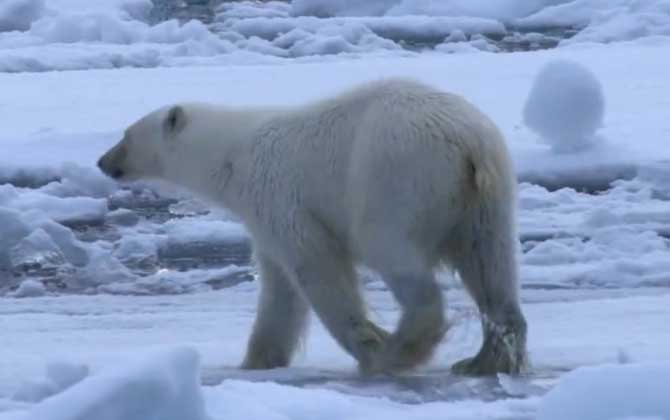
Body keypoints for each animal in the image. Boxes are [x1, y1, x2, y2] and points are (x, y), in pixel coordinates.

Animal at [100, 79, 532, 374]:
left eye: (125, 135)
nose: (103, 162)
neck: (233, 158)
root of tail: (468, 141)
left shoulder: (281, 198)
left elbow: (317, 270)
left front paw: (368, 344)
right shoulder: (266, 220)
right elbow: (279, 292)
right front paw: (257, 360)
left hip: (395, 177)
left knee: (391, 252)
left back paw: (399, 349)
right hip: (486, 198)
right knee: (490, 263)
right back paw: (485, 360)